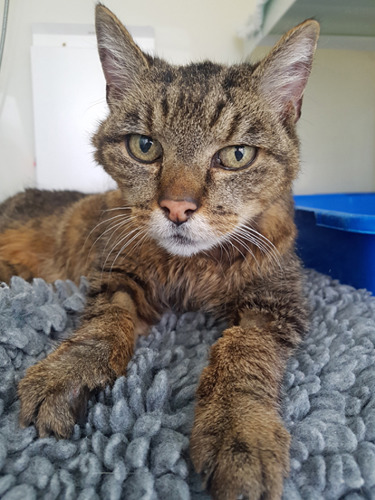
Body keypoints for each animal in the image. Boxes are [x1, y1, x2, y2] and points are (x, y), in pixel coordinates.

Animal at [0, 5, 320, 498]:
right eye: (145, 146)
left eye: (237, 155)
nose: (177, 207)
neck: (193, 268)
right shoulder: (117, 277)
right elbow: (104, 325)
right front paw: (69, 370)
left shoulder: (274, 303)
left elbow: (243, 354)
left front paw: (238, 429)